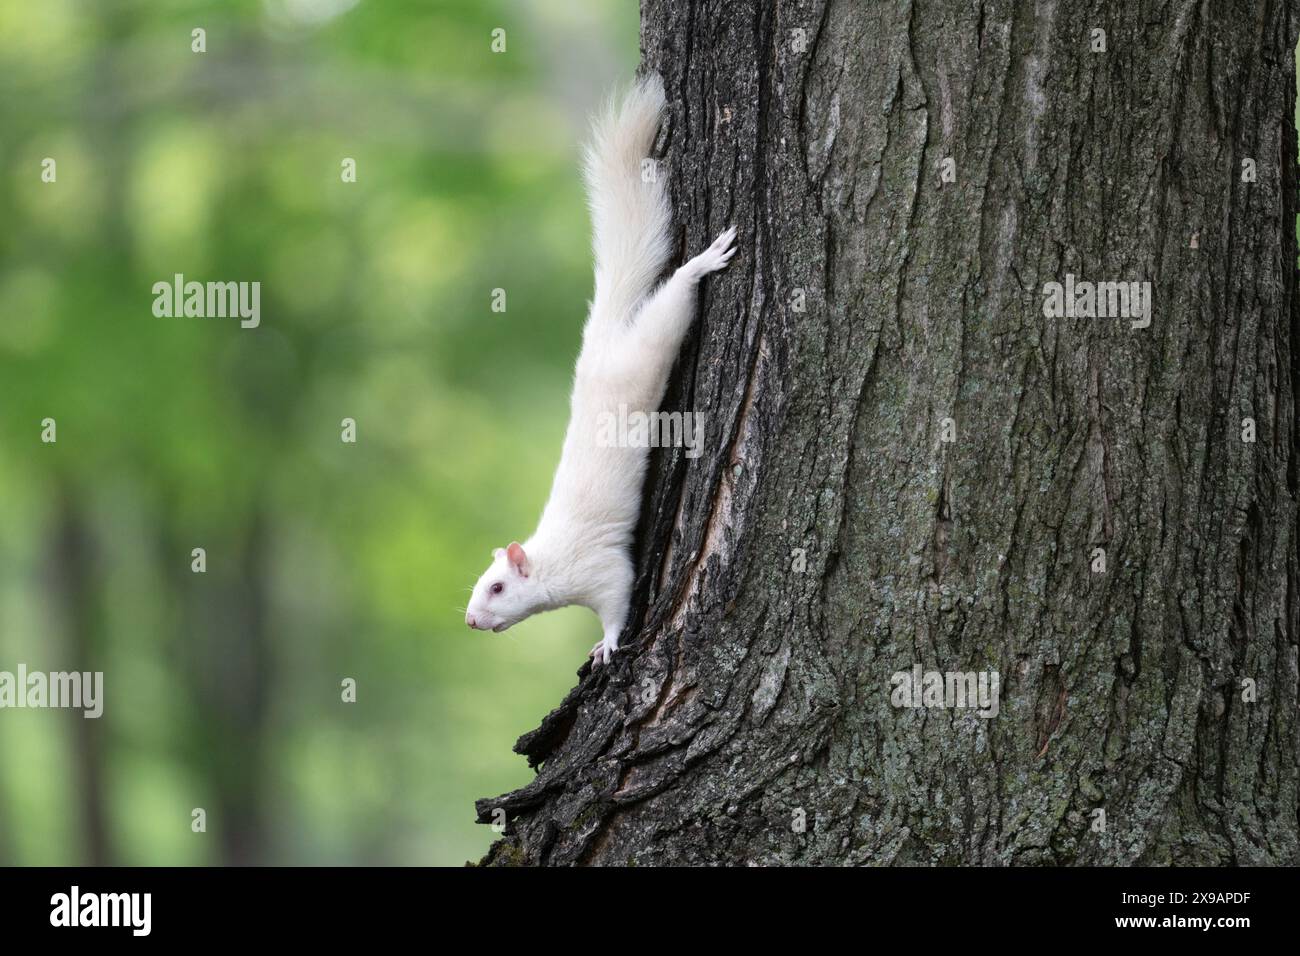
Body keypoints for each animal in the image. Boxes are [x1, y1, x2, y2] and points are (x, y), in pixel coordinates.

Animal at [467, 76, 738, 665]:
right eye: (477, 584)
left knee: (673, 299)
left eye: (497, 587)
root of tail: (604, 335)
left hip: (649, 346)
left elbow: (618, 598)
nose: (472, 620)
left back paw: (702, 262)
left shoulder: (601, 568)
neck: (551, 561)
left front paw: (607, 645)